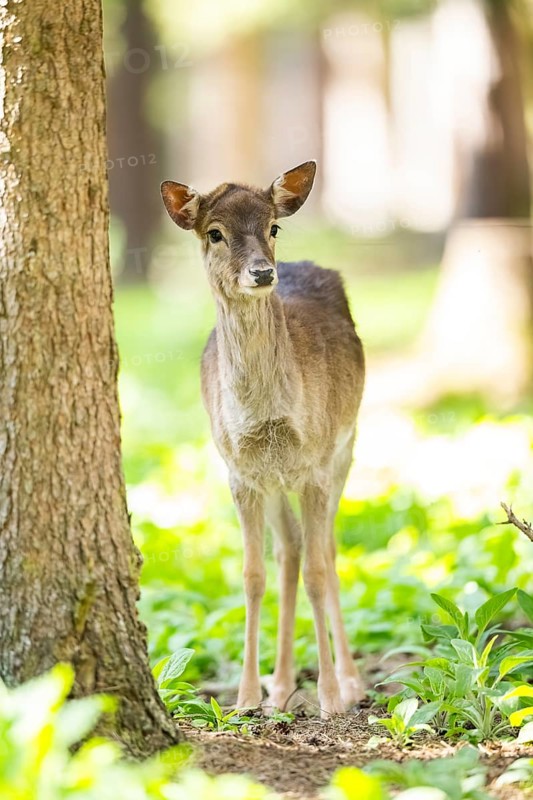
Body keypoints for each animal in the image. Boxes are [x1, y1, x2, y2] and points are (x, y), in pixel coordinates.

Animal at [161, 161, 365, 717]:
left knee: (327, 551)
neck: (269, 418)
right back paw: (281, 684)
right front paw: (246, 697)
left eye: (274, 226)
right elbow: (252, 576)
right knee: (289, 549)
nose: (261, 273)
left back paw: (350, 681)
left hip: (347, 446)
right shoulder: (240, 472)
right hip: (274, 482)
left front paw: (331, 699)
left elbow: (319, 571)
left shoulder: (315, 463)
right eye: (214, 232)